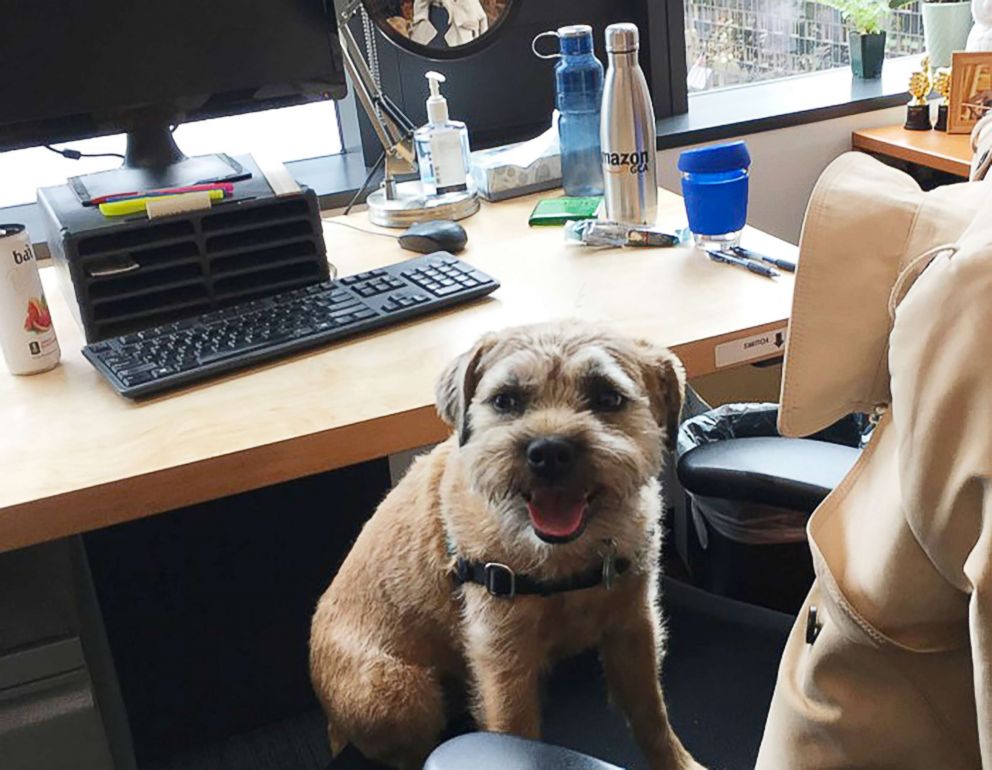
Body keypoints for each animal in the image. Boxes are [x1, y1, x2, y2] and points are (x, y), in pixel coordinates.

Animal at [306, 320, 700, 764]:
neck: (567, 556)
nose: (549, 451)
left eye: (608, 397)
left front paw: (680, 762)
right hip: (397, 692)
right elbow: (514, 728)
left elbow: (652, 713)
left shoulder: (634, 626)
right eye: (506, 400)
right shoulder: (502, 656)